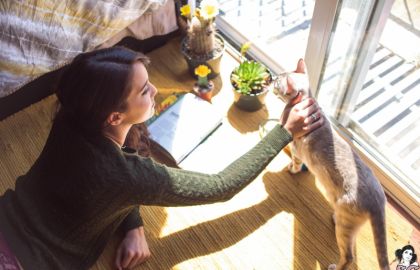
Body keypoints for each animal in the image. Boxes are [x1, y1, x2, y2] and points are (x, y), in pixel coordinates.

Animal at [274, 59, 388, 270]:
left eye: (278, 81)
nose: (271, 78)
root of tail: (379, 199)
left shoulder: (296, 150)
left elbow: (295, 163)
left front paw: (291, 170)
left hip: (345, 228)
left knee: (349, 256)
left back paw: (335, 265)